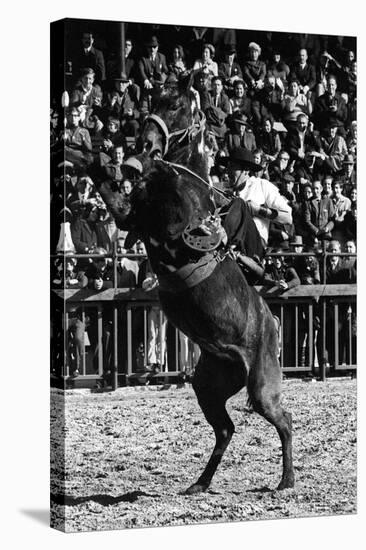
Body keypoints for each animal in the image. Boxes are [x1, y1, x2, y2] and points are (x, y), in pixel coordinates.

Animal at [98, 81, 294, 496]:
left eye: (177, 105)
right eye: (157, 100)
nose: (145, 142)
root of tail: (270, 319)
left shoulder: (175, 232)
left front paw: (137, 163)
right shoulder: (129, 218)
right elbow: (109, 189)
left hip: (262, 384)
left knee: (282, 419)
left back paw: (286, 481)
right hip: (208, 384)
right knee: (225, 429)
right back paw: (199, 484)